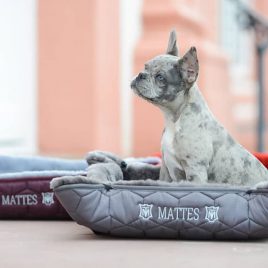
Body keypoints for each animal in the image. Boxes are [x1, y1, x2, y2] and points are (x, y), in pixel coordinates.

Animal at [130, 29, 268, 188]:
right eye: (145, 67)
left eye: (160, 77)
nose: (140, 75)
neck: (174, 120)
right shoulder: (165, 170)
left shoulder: (195, 170)